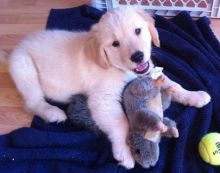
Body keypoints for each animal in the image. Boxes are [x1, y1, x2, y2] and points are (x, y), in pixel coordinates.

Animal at [3, 7, 210, 168]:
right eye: (115, 44)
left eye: (137, 31)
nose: (137, 56)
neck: (117, 67)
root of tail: (16, 48)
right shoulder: (102, 99)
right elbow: (121, 123)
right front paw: (125, 153)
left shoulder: (149, 73)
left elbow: (173, 83)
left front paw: (195, 96)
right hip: (24, 69)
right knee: (32, 101)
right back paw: (53, 113)